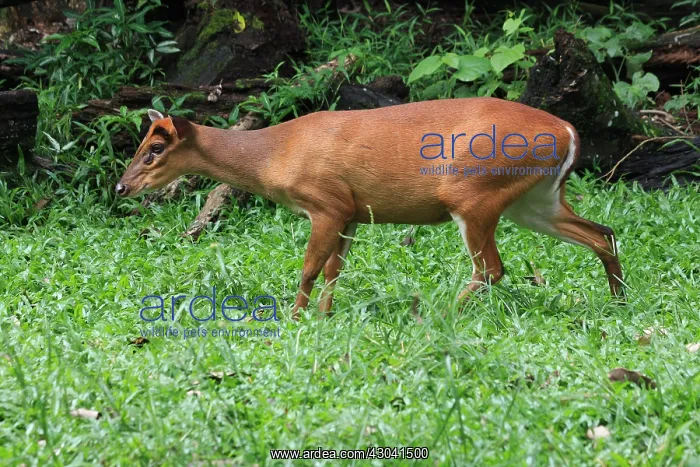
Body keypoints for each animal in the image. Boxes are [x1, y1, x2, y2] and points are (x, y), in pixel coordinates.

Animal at [116, 98, 624, 320]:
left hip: (474, 195)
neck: (275, 154)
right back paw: (619, 301)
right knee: (603, 232)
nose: (122, 186)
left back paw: (437, 314)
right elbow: (333, 270)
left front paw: (295, 318)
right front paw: (323, 317)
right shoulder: (352, 213)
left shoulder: (327, 202)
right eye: (141, 143)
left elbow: (309, 268)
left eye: (155, 149)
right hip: (534, 200)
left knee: (492, 268)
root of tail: (568, 131)